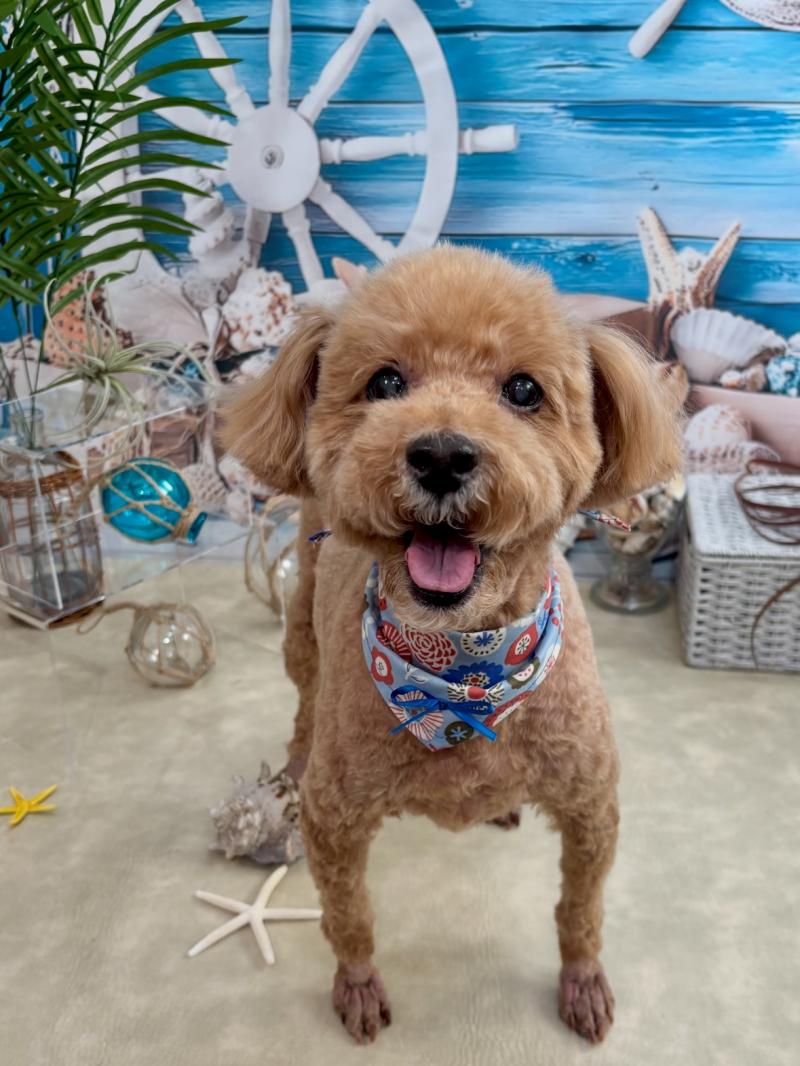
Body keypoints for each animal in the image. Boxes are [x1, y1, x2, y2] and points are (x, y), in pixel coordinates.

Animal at [220, 245, 683, 1045]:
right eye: (385, 382)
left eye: (524, 390)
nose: (440, 455)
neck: (463, 670)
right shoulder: (335, 820)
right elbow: (348, 915)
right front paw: (358, 985)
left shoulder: (592, 804)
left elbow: (581, 909)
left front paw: (583, 982)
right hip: (302, 634)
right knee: (304, 703)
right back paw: (294, 761)